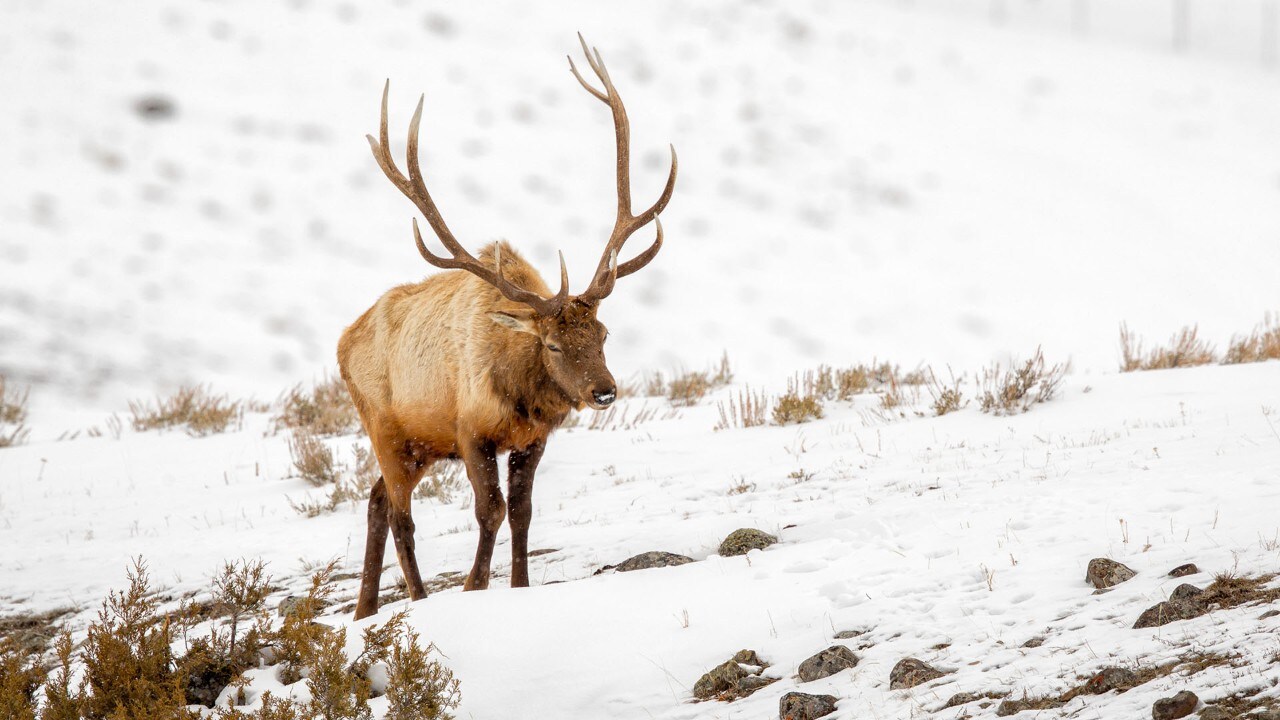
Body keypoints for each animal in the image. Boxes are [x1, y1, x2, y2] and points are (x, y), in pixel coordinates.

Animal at [340, 35, 680, 617]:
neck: (518, 388)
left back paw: (365, 610)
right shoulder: (470, 431)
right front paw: (474, 587)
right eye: (552, 345)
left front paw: (519, 588)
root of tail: (341, 342)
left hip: (417, 444)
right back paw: (418, 599)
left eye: (604, 334)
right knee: (402, 516)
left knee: (376, 500)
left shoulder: (532, 439)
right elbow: (490, 511)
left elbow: (522, 512)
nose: (604, 391)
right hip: (385, 428)